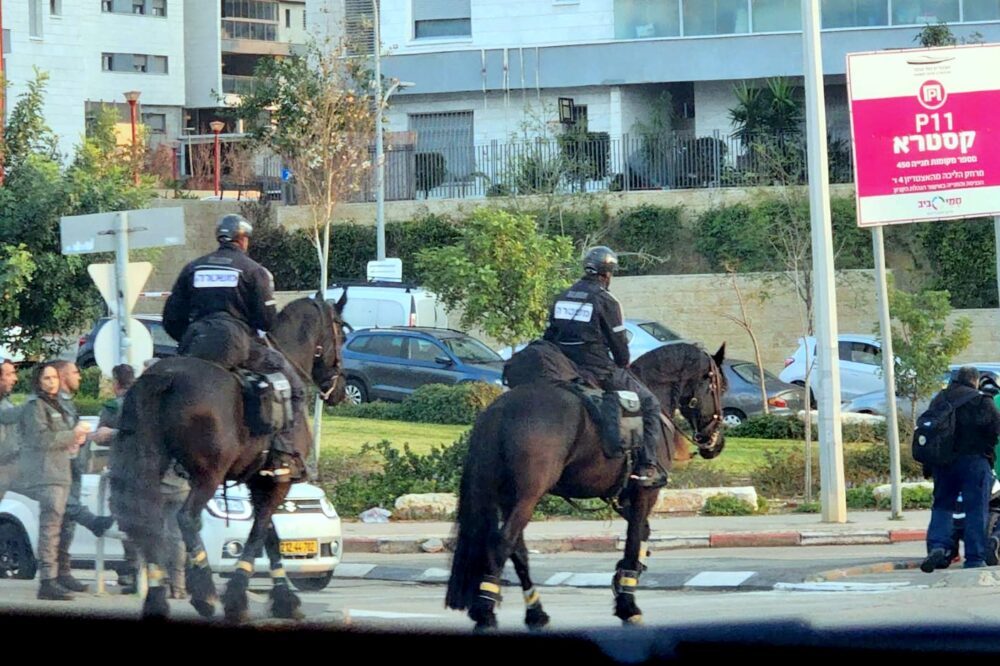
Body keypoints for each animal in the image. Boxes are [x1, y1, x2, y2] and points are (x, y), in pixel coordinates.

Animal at [109, 294, 348, 620]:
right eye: (343, 334)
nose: (340, 390)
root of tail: (166, 377)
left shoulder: (258, 480)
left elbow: (270, 536)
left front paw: (283, 598)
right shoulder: (277, 481)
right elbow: (260, 532)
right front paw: (239, 598)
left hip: (149, 466)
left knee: (149, 517)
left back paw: (157, 597)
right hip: (207, 475)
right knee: (186, 518)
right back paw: (204, 592)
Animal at [446, 342, 728, 628]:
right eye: (720, 386)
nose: (716, 443)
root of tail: (499, 410)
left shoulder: (622, 497)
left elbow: (643, 534)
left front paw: (625, 578)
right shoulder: (644, 492)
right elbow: (635, 537)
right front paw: (627, 602)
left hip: (508, 496)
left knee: (518, 550)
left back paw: (535, 611)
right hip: (528, 495)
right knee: (503, 542)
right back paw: (486, 611)